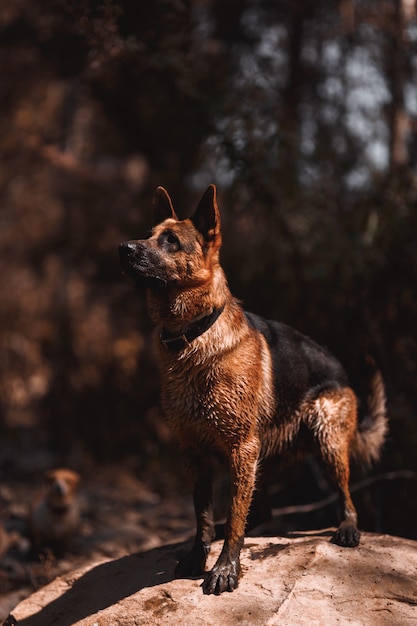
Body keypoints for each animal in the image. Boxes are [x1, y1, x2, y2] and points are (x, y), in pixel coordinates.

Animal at [119, 184, 386, 588]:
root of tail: (341, 369)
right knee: (259, 511)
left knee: (344, 497)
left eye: (171, 241)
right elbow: (202, 516)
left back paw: (348, 529)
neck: (193, 336)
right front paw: (199, 555)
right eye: (148, 235)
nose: (124, 248)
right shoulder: (194, 453)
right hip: (265, 455)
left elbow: (231, 518)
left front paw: (225, 567)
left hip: (325, 438)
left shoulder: (239, 448)